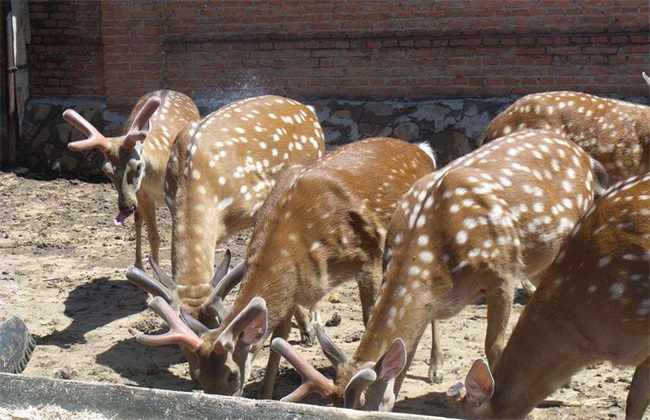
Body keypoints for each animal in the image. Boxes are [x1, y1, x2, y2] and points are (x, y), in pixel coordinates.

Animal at [64, 91, 200, 270]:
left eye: (137, 166)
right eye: (106, 170)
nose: (125, 207)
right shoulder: (143, 195)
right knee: (138, 221)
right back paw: (138, 266)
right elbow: (153, 236)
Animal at [130, 139, 436, 400]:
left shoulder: (367, 258)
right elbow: (279, 338)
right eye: (198, 377)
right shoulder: (294, 289)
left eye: (231, 375)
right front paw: (266, 395)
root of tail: (424, 151)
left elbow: (368, 317)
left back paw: (435, 369)